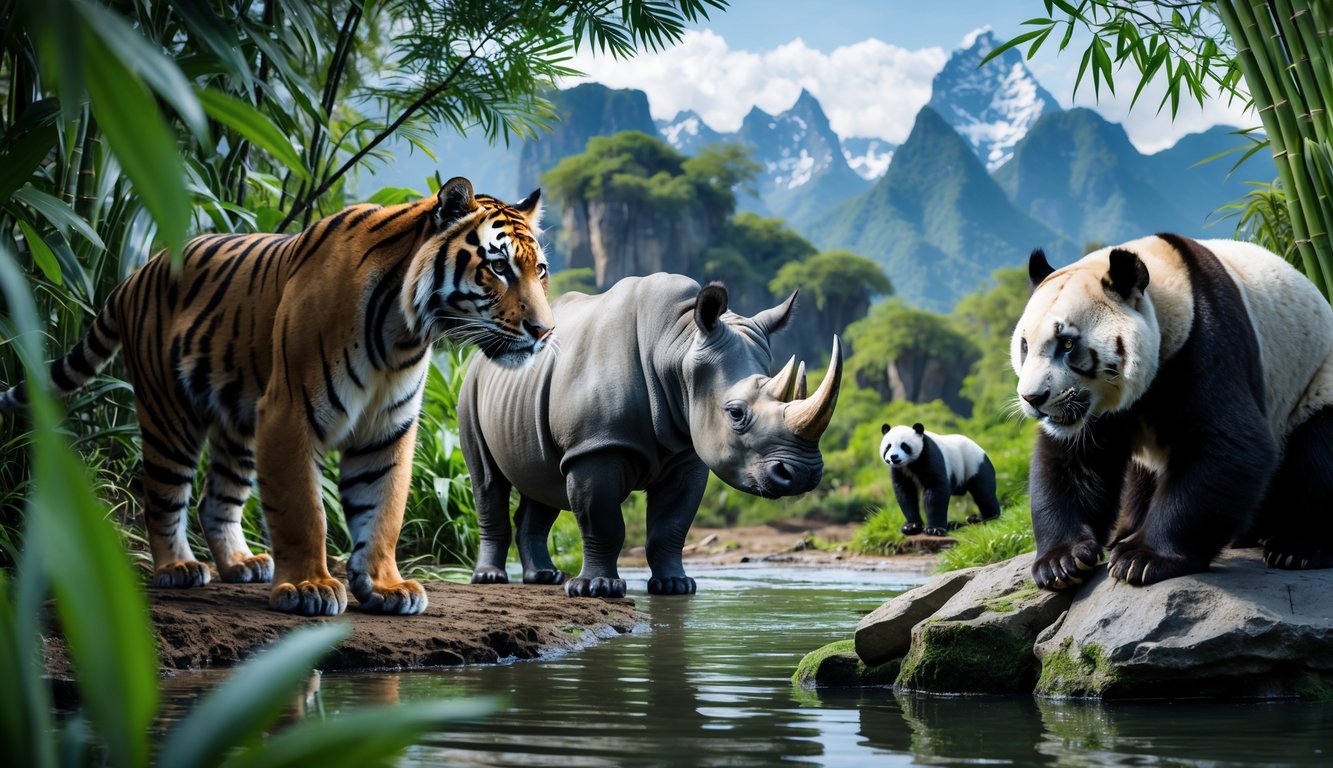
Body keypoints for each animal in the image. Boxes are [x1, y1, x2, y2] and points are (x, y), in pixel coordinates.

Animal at [1013, 233, 1333, 591]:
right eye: (1025, 345)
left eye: (1067, 344)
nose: (1033, 398)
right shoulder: (1092, 412)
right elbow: (1073, 460)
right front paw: (1062, 562)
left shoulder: (1206, 340)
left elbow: (1229, 444)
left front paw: (1142, 558)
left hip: (1315, 382)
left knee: (1318, 456)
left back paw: (1297, 548)